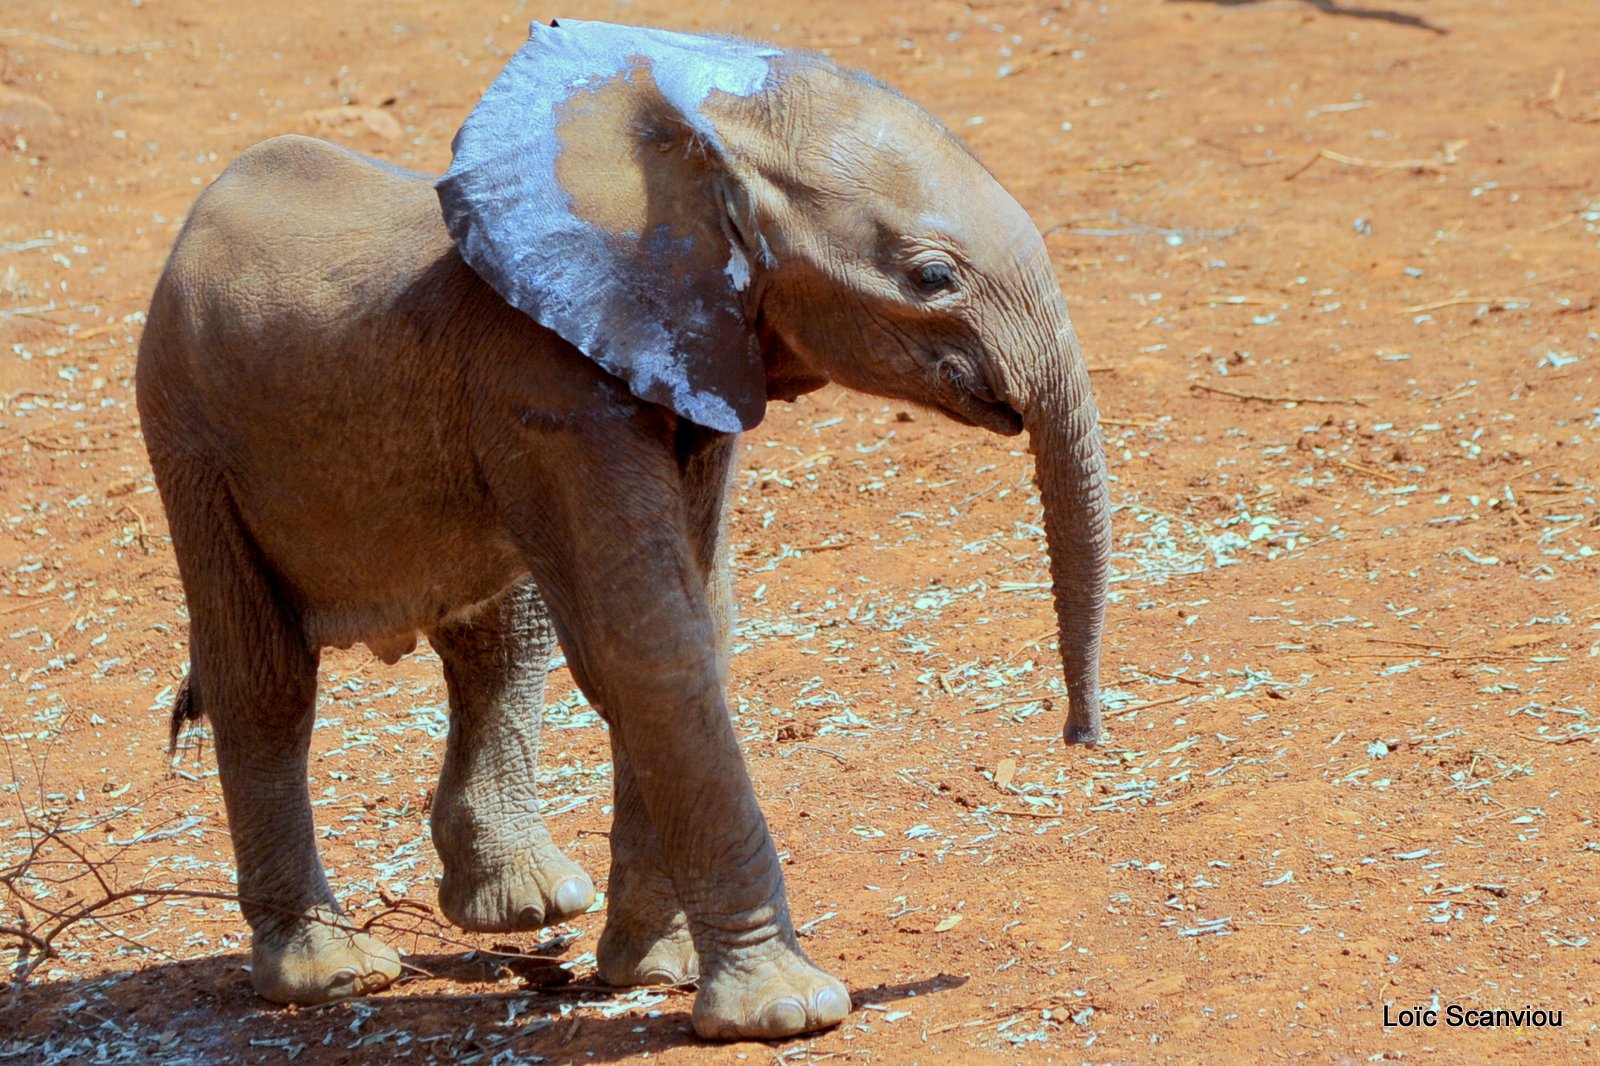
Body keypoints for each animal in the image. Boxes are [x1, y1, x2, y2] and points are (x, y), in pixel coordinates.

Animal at [137, 18, 1107, 1037]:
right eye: (931, 276)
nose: (1079, 738)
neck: (700, 135)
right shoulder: (545, 381)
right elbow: (649, 640)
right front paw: (787, 1012)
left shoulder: (694, 357)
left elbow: (696, 626)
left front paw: (657, 973)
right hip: (185, 431)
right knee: (266, 677)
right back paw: (333, 976)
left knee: (500, 638)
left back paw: (525, 909)